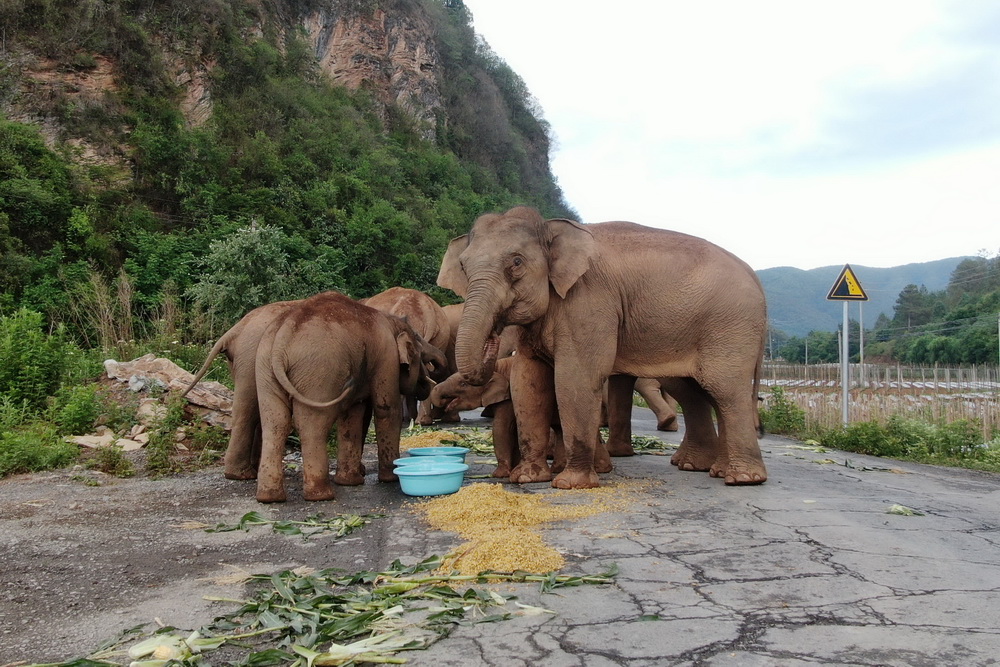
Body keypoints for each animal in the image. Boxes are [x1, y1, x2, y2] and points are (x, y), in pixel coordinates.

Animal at [436, 206, 764, 488]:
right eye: (463, 266)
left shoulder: (588, 300)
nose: (493, 335)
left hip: (730, 326)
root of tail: (755, 276)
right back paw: (703, 468)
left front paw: (570, 484)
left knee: (725, 389)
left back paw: (743, 478)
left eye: (516, 263)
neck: (551, 227)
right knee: (695, 392)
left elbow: (577, 376)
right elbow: (528, 380)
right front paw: (527, 478)